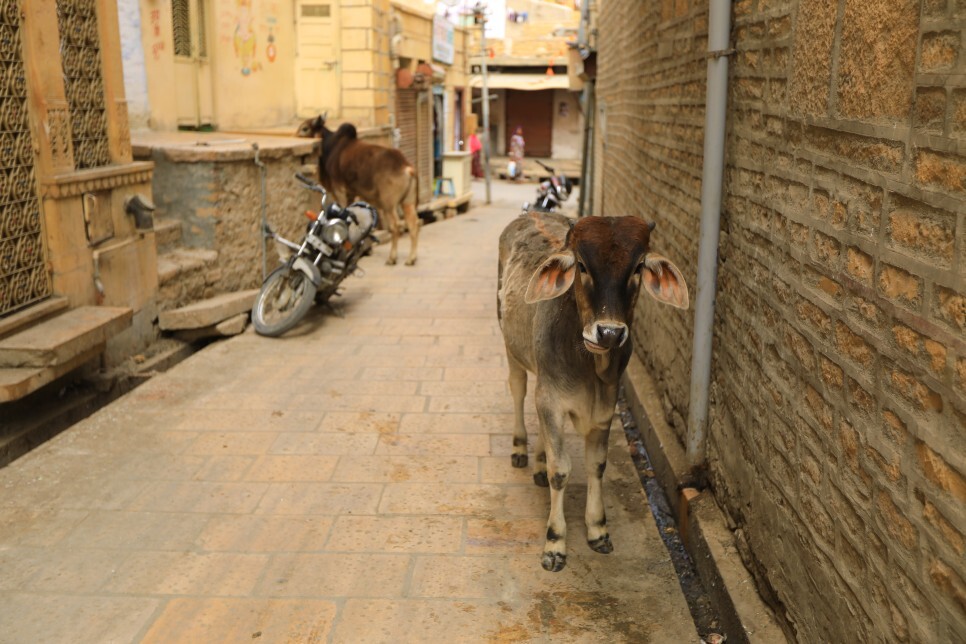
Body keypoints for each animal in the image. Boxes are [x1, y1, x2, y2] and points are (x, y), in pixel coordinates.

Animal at [297, 115, 420, 266]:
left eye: (305, 128)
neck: (330, 147)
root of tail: (407, 167)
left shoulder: (339, 190)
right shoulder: (351, 193)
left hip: (389, 205)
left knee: (396, 226)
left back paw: (392, 258)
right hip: (407, 202)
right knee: (414, 224)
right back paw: (411, 259)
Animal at [497, 211, 689, 572]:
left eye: (638, 267)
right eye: (582, 266)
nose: (609, 332)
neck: (590, 367)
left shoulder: (605, 407)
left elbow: (596, 465)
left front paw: (598, 529)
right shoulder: (551, 400)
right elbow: (561, 470)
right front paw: (555, 542)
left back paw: (538, 463)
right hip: (511, 349)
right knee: (517, 392)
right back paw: (520, 449)